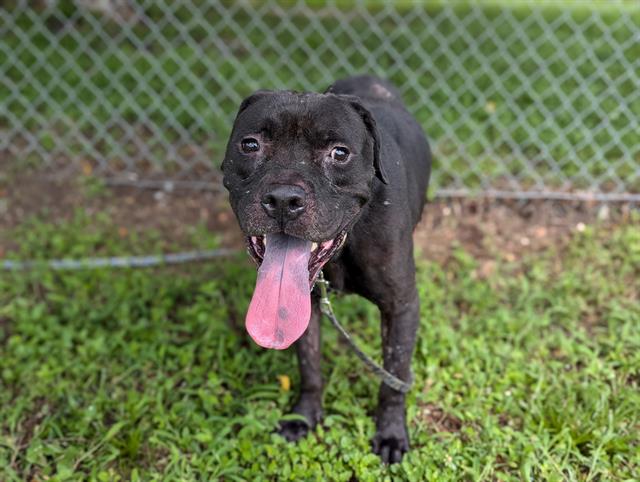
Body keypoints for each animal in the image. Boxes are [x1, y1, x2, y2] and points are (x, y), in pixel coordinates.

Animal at [222, 75, 432, 464]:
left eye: (339, 153)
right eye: (250, 144)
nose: (284, 200)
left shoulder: (401, 307)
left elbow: (393, 375)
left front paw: (391, 433)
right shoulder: (301, 309)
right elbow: (309, 365)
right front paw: (304, 417)